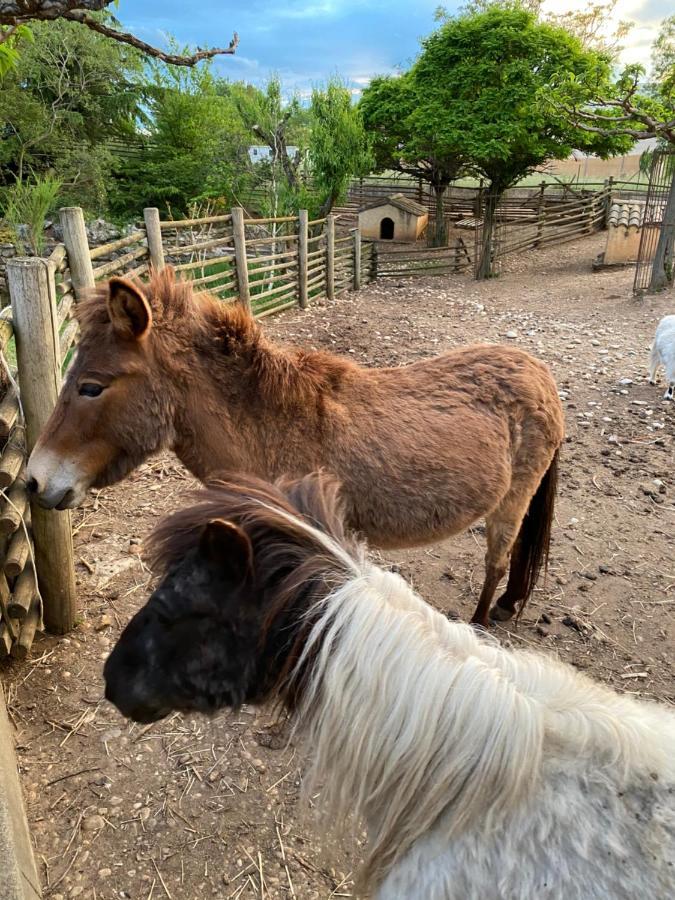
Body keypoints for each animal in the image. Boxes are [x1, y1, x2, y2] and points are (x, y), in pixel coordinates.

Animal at [27, 268, 564, 624]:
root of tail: (539, 371)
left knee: (497, 560)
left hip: (510, 501)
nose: (34, 480)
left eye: (91, 387)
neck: (273, 431)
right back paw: (508, 605)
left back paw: (480, 620)